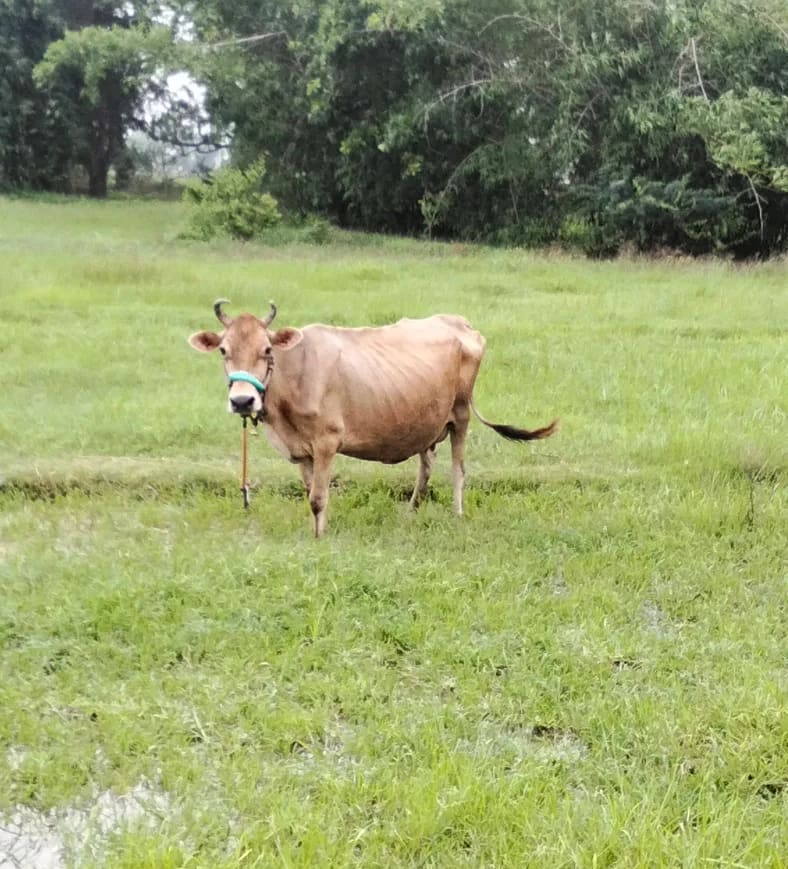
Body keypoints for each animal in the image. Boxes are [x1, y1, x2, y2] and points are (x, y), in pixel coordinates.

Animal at [188, 300, 558, 536]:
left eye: (267, 349)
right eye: (223, 350)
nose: (242, 400)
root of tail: (460, 322)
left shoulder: (327, 441)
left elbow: (318, 497)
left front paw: (320, 538)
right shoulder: (301, 450)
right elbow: (310, 493)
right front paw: (316, 530)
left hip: (461, 414)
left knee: (458, 469)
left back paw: (457, 513)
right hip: (426, 422)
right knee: (426, 466)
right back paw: (411, 511)